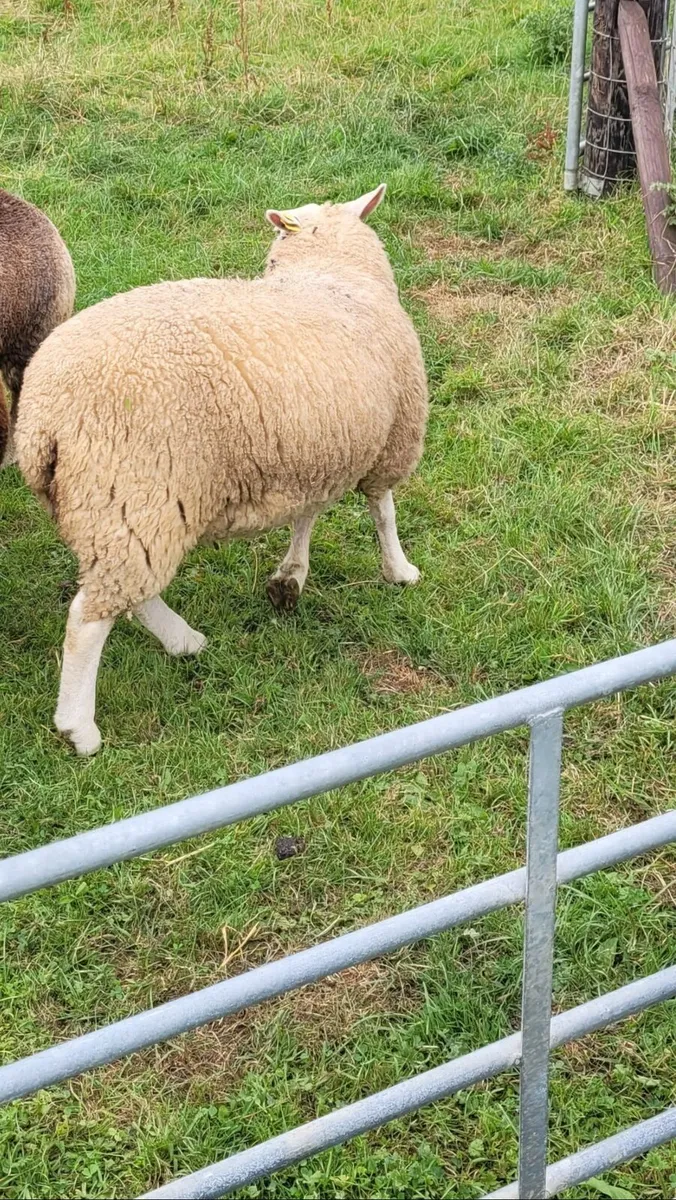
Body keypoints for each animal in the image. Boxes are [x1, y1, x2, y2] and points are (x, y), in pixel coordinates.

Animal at [16, 183, 428, 756]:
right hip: (136, 490)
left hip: (112, 508)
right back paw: (81, 728)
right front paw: (399, 570)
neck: (329, 274)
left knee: (131, 594)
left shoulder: (314, 449)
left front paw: (290, 577)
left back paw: (183, 640)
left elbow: (307, 516)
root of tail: (43, 414)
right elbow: (382, 511)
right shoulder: (389, 441)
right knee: (88, 620)